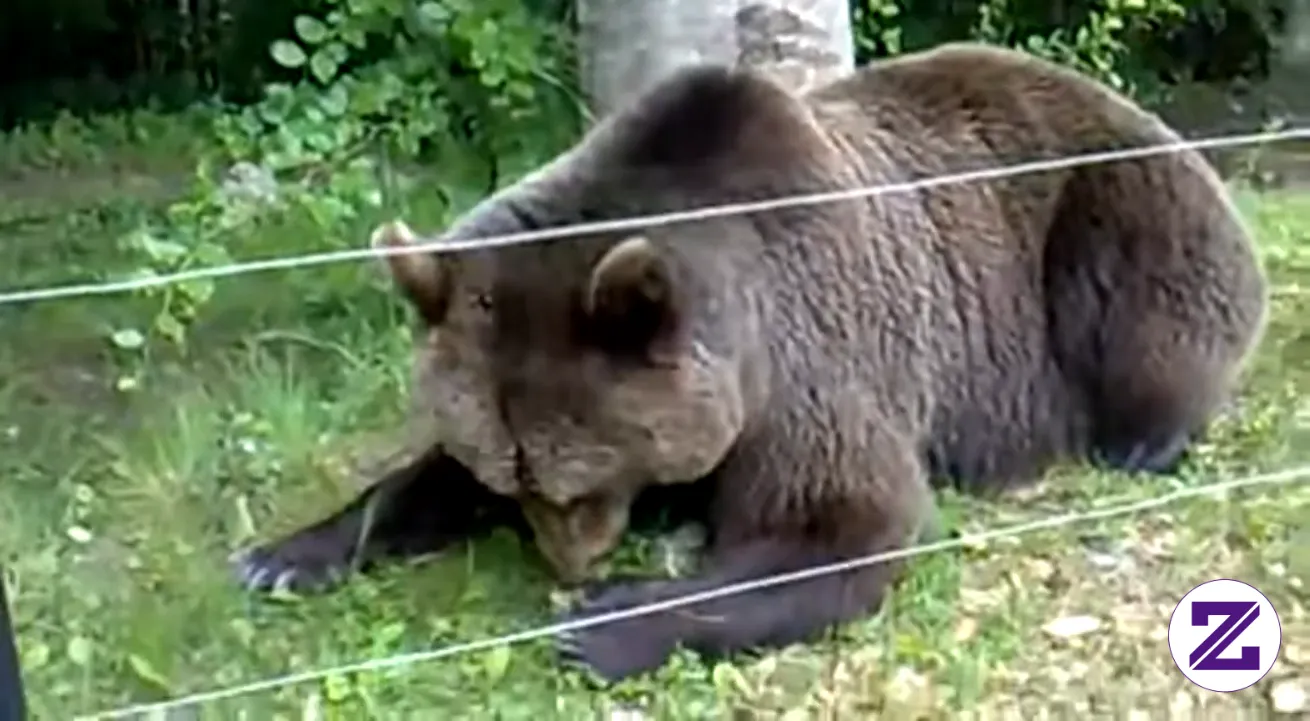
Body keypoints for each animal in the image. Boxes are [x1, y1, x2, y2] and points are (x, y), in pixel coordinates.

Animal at [230, 41, 1269, 681]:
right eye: (510, 472)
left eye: (578, 475)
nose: (564, 560)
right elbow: (418, 473)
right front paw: (285, 553)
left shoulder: (810, 361)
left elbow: (840, 525)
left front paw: (604, 618)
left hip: (1108, 205)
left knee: (1139, 298)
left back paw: (1143, 435)